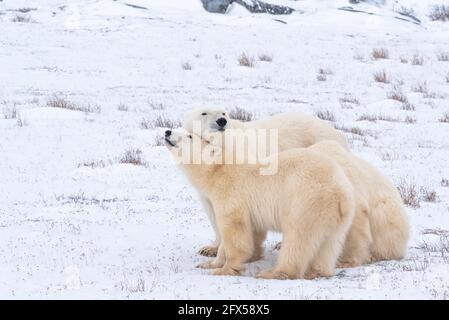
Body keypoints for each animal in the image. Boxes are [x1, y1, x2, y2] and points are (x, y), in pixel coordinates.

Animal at [163, 129, 356, 278]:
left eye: (189, 136)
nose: (167, 131)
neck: (218, 168)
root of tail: (341, 192)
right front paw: (209, 264)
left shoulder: (230, 192)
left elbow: (234, 229)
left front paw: (224, 269)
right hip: (336, 218)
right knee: (329, 244)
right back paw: (316, 271)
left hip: (305, 202)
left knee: (297, 239)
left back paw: (273, 273)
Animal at [180, 107, 348, 258]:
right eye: (204, 113)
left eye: (223, 112)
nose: (222, 121)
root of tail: (336, 132)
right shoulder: (205, 187)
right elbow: (212, 211)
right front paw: (210, 249)